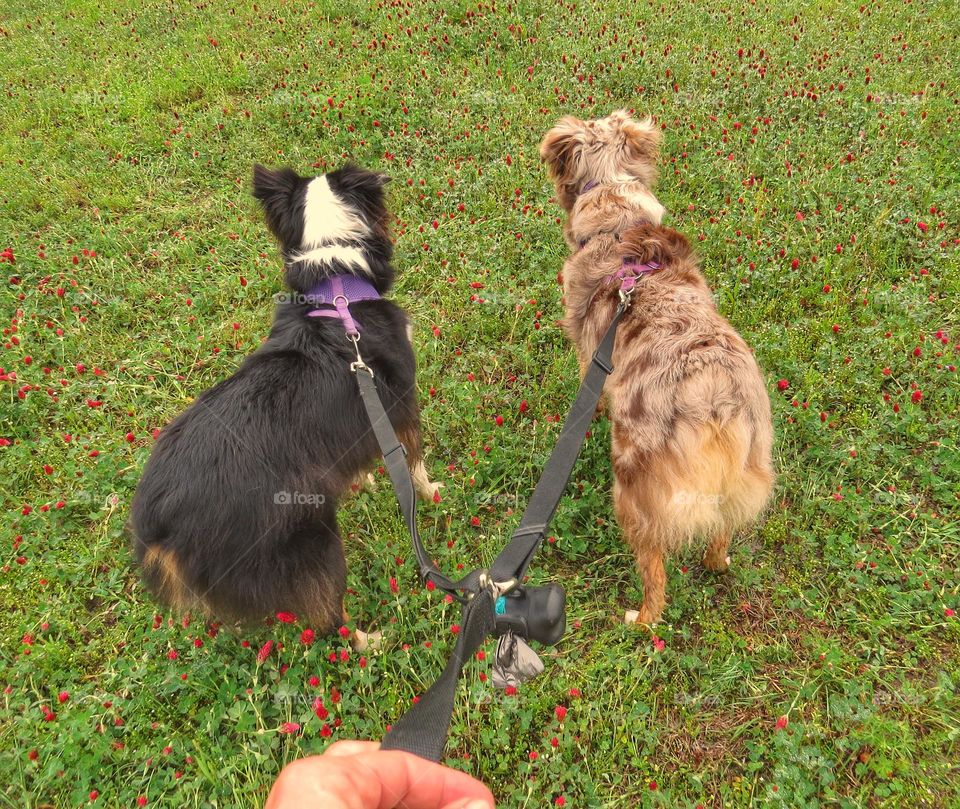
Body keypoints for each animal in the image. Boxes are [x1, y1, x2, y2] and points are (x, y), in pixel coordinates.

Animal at [127, 163, 438, 632]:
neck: (335, 285)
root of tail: (158, 526)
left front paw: (362, 482)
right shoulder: (400, 400)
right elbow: (412, 462)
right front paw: (432, 490)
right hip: (309, 541)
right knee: (326, 618)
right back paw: (369, 639)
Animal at [540, 109, 772, 624]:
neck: (616, 221)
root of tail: (714, 397)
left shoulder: (590, 351)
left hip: (633, 483)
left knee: (654, 567)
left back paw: (642, 619)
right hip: (745, 468)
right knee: (721, 530)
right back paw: (718, 563)